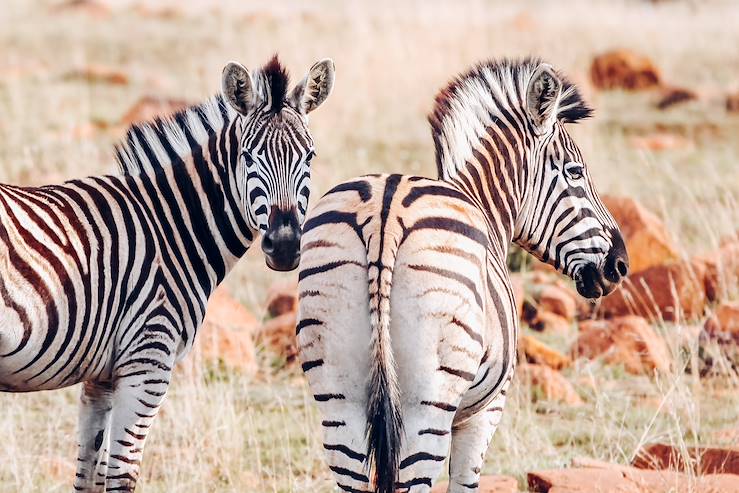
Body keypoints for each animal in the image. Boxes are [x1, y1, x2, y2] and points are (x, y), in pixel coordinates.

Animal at [0, 55, 336, 490]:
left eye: (309, 157)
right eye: (248, 157)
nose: (283, 246)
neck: (170, 228)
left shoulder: (102, 377)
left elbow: (88, 476)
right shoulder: (148, 362)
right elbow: (122, 477)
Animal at [298, 58, 628, 492]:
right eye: (575, 173)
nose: (619, 265)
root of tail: (384, 213)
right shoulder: (485, 411)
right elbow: (465, 482)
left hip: (339, 391)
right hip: (429, 399)